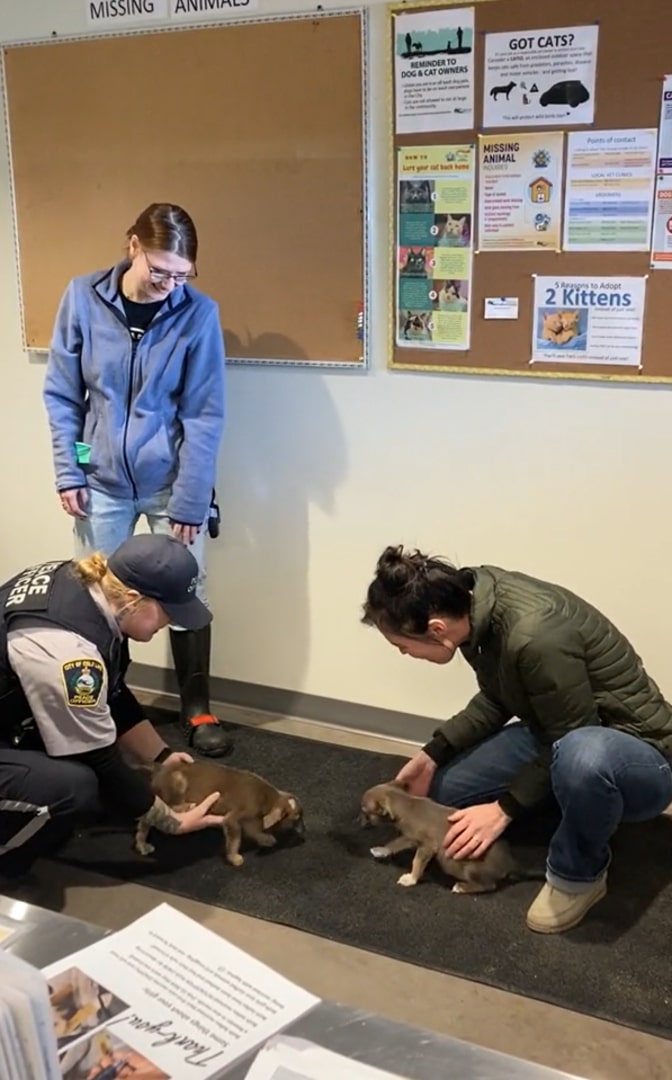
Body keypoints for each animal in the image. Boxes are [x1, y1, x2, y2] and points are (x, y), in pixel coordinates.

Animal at [137, 760, 304, 868]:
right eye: (296, 819)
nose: (304, 832)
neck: (268, 799)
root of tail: (158, 770)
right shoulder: (234, 818)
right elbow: (235, 840)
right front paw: (235, 858)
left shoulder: (251, 820)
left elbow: (255, 831)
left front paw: (266, 840)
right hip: (176, 783)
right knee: (164, 809)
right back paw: (186, 807)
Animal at [363, 781, 520, 889]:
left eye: (364, 812)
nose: (359, 821)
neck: (406, 803)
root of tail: (511, 863)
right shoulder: (411, 837)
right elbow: (396, 842)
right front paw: (382, 850)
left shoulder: (427, 846)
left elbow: (416, 862)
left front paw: (411, 879)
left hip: (467, 868)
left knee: (489, 885)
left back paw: (462, 887)